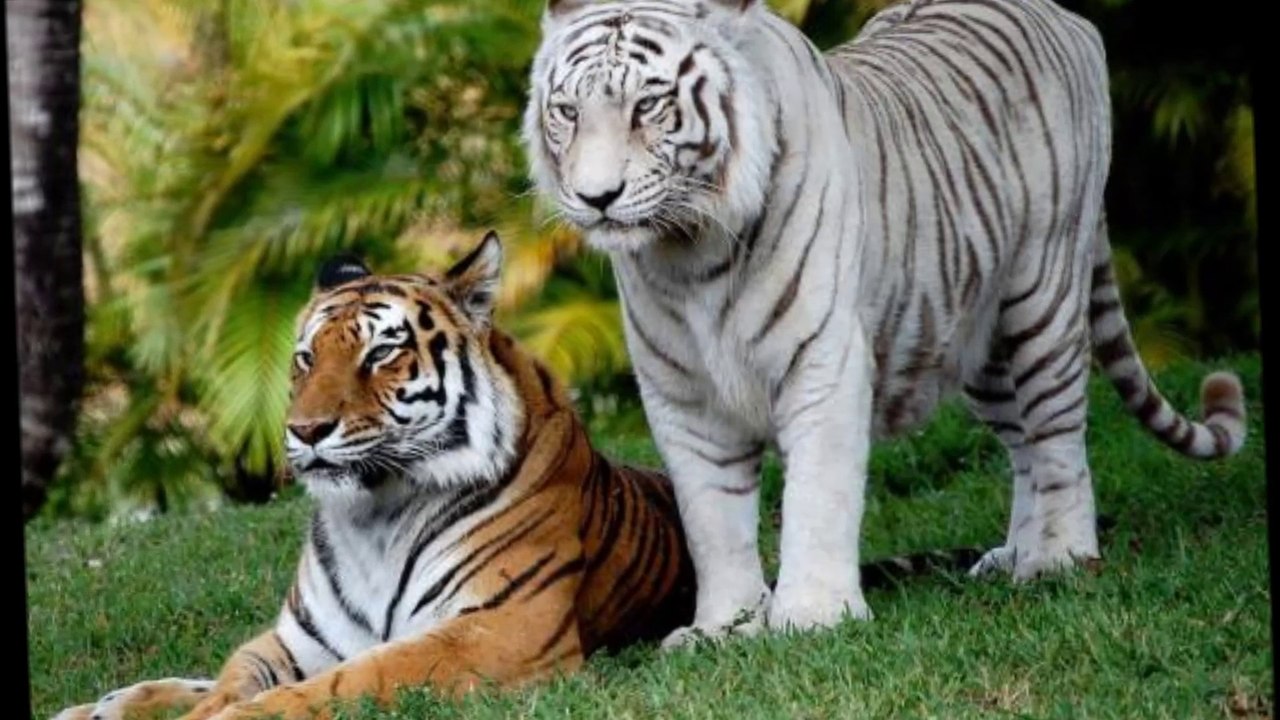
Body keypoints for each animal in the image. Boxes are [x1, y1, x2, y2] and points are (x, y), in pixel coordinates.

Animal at [52, 232, 981, 720]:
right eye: (307, 359)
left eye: (381, 354)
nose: (305, 432)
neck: (373, 512)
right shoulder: (294, 640)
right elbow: (233, 671)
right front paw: (179, 703)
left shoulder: (495, 630)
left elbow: (346, 681)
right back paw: (94, 705)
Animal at [521, 0, 1248, 647]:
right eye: (567, 112)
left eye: (647, 106)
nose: (596, 198)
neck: (688, 254)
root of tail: (1063, 14)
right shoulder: (681, 390)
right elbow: (712, 517)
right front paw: (724, 628)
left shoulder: (822, 360)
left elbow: (819, 494)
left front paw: (813, 617)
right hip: (974, 338)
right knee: (1022, 449)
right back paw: (1015, 554)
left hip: (1043, 297)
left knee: (1058, 436)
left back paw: (1059, 558)